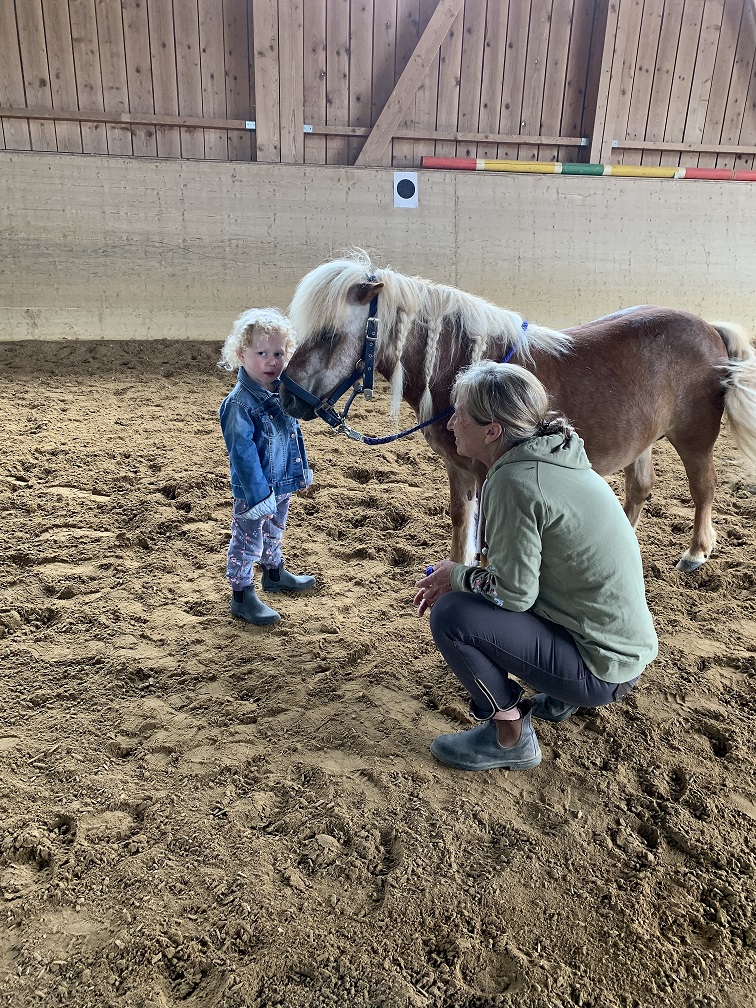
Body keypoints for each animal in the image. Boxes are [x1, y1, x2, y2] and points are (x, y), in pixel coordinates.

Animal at [280, 248, 756, 572]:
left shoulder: (488, 473)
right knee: (640, 487)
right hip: (642, 440)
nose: (285, 396)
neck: (466, 369)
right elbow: (462, 522)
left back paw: (695, 553)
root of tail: (710, 328)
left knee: (703, 489)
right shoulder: (459, 469)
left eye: (328, 335)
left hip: (694, 439)